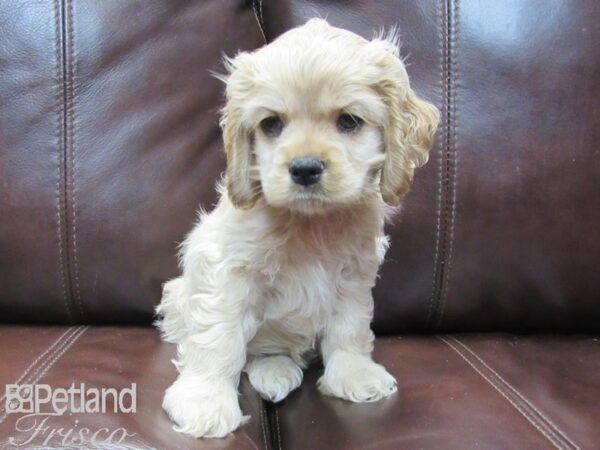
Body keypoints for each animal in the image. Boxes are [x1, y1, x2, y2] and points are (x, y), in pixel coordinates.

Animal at [157, 19, 438, 438]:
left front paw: (355, 376)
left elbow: (350, 328)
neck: (310, 223)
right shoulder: (229, 272)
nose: (305, 168)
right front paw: (204, 401)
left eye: (349, 121)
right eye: (271, 124)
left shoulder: (353, 276)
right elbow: (219, 337)